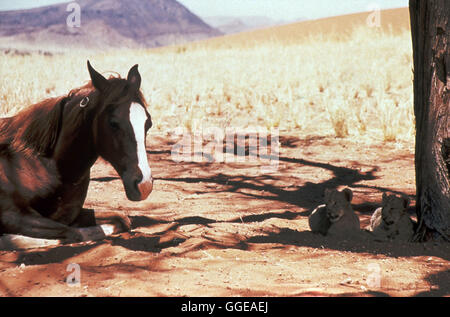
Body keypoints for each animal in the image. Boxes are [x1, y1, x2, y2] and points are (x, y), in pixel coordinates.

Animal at [0, 59, 153, 247]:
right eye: (113, 123)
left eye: (148, 123)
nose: (144, 185)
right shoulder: (13, 215)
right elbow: (72, 233)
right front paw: (10, 239)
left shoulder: (73, 213)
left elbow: (122, 219)